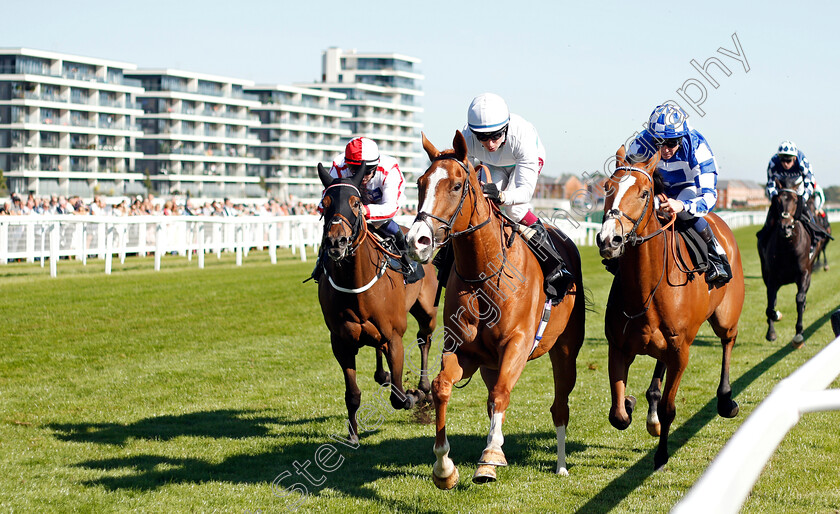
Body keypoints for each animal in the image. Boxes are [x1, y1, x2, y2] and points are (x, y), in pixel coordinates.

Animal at [316, 162, 440, 442]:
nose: (336, 241)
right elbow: (352, 394)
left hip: (427, 310)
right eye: (324, 202)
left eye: (355, 203)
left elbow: (399, 397)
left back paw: (423, 387)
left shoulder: (395, 337)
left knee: (423, 339)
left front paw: (413, 395)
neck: (355, 284)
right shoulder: (341, 342)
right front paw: (352, 434)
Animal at [406, 130, 584, 486]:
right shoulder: (464, 350)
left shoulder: (517, 343)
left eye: (456, 185)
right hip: (490, 364)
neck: (482, 273)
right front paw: (444, 468)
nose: (417, 240)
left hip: (565, 350)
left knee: (559, 406)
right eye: (420, 183)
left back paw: (560, 465)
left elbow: (502, 393)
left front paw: (489, 458)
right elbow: (442, 387)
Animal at [592, 144, 744, 468]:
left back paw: (726, 400)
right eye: (608, 187)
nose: (609, 239)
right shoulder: (618, 347)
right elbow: (618, 414)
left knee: (728, 340)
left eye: (644, 192)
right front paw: (630, 403)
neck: (646, 288)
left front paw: (661, 455)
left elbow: (668, 408)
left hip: (724, 318)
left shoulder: (681, 351)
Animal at [756, 174, 828, 346]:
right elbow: (771, 305)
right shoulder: (772, 277)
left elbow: (800, 299)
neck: (788, 248)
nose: (786, 227)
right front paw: (772, 329)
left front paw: (799, 334)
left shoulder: (804, 273)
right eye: (777, 200)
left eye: (795, 200)